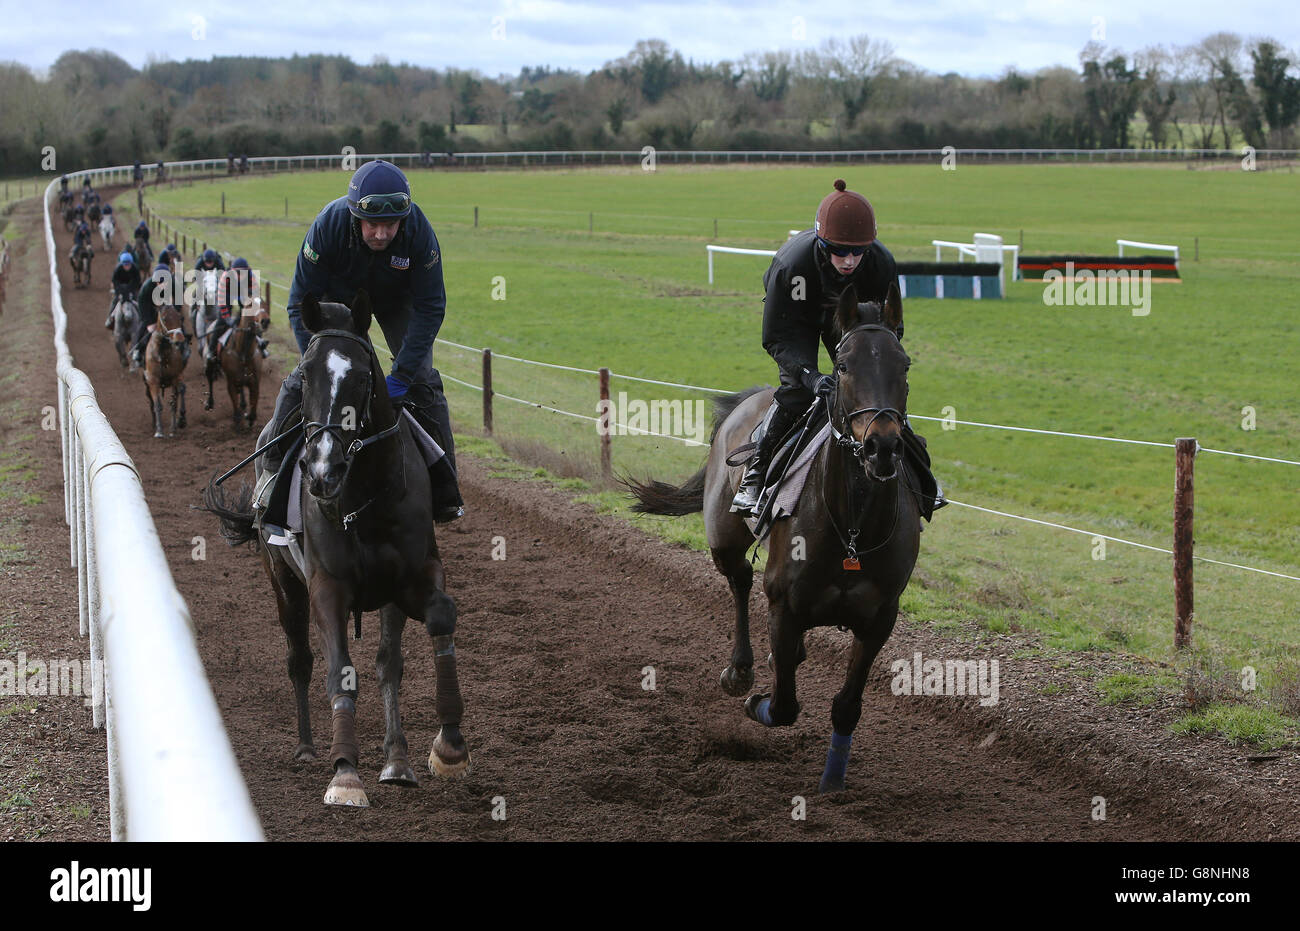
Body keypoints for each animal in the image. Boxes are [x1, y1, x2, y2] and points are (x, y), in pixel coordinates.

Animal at [145, 304, 192, 439]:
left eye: (181, 317)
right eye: (165, 319)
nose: (180, 341)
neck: (163, 354)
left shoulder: (175, 377)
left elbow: (174, 402)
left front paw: (175, 427)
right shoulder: (153, 380)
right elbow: (157, 405)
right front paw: (159, 431)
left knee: (180, 392)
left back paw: (178, 422)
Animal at [200, 291, 470, 806]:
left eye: (363, 376)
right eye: (306, 374)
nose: (323, 471)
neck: (363, 499)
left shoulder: (413, 577)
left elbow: (435, 624)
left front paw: (447, 747)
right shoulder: (327, 587)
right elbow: (338, 669)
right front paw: (344, 773)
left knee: (388, 664)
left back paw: (397, 759)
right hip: (282, 582)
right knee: (299, 660)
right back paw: (307, 747)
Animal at [624, 283, 920, 790]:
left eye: (903, 366)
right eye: (843, 366)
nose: (882, 445)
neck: (853, 530)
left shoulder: (880, 618)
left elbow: (847, 707)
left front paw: (832, 781)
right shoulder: (785, 604)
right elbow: (783, 706)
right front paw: (755, 701)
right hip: (723, 537)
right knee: (740, 579)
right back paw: (740, 670)